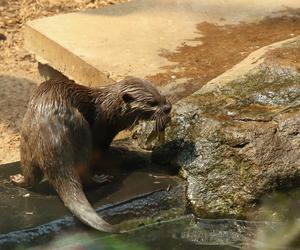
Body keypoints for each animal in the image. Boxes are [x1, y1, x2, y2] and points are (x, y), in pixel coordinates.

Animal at [9, 77, 171, 233]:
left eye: (161, 95)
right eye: (152, 103)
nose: (168, 108)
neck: (109, 109)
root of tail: (52, 134)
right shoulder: (103, 129)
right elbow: (101, 150)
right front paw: (118, 150)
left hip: (26, 141)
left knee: (31, 174)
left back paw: (18, 179)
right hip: (83, 134)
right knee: (85, 174)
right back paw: (100, 179)